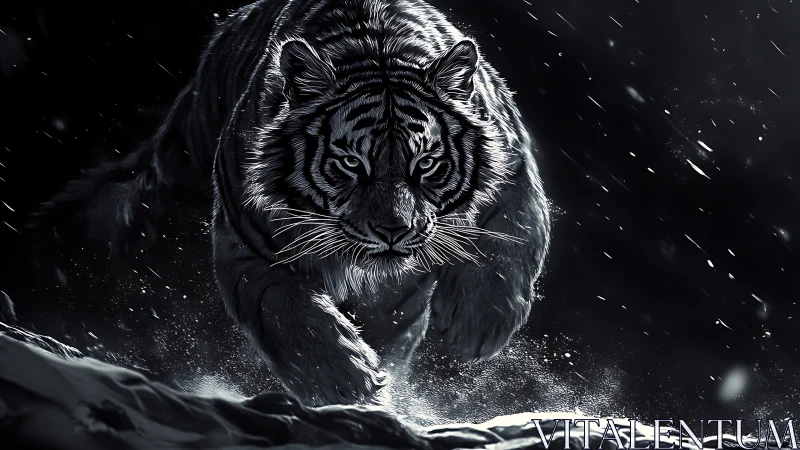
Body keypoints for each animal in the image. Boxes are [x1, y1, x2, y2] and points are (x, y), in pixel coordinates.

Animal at [33, 0, 551, 406]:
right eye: (349, 162)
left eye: (425, 162)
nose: (393, 230)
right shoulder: (253, 245)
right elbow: (288, 313)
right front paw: (346, 383)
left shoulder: (513, 162)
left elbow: (509, 237)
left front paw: (475, 326)